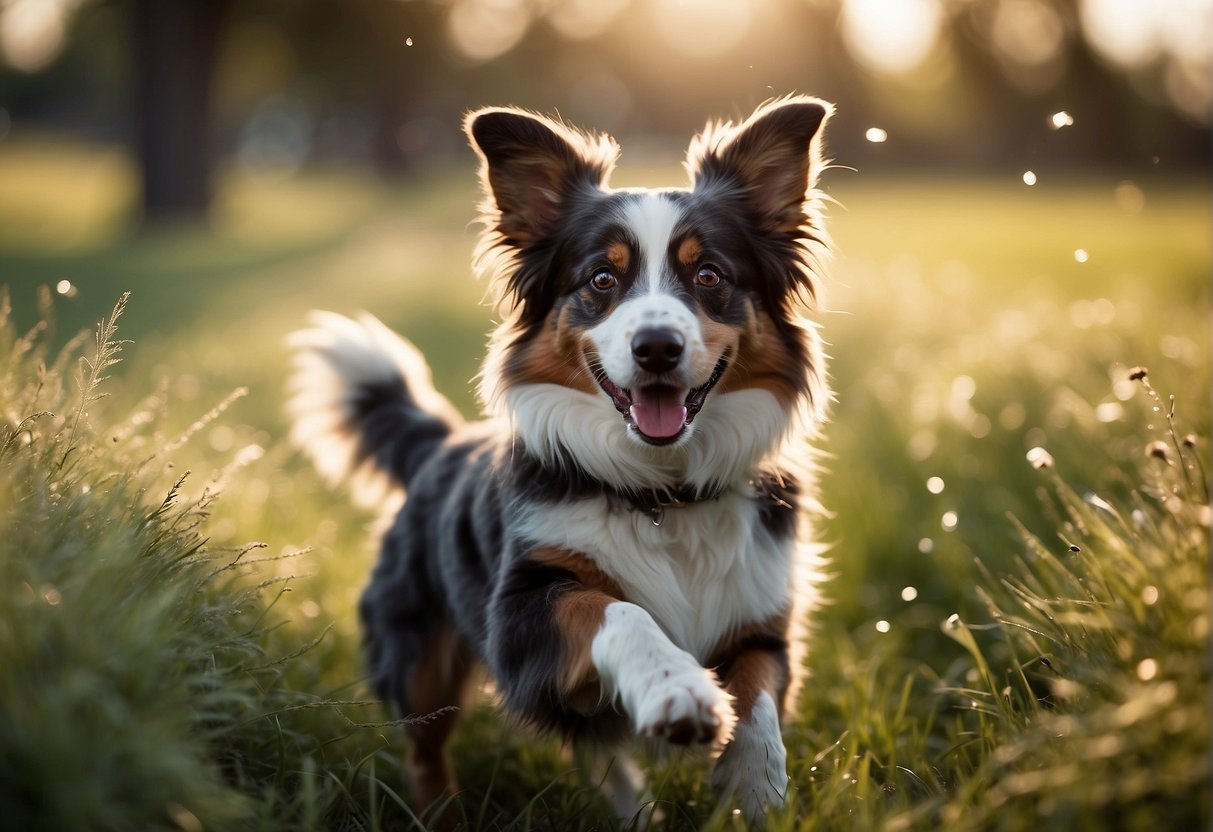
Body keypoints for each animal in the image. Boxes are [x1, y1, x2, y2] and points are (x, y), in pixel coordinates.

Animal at [286, 94, 834, 824]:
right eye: (602, 278)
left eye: (709, 275)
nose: (656, 347)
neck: (662, 494)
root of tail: (441, 444)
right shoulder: (520, 617)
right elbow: (617, 611)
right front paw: (679, 690)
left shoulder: (764, 616)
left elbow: (761, 693)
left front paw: (755, 779)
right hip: (418, 662)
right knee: (427, 752)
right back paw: (444, 816)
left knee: (600, 754)